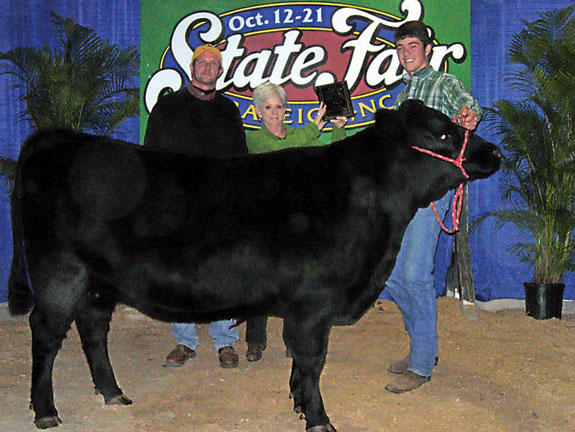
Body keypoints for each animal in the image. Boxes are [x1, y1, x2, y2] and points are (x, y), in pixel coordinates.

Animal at [7, 99, 500, 430]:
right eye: (441, 134)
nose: (493, 153)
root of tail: (60, 136)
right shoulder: (313, 302)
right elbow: (312, 359)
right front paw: (318, 417)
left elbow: (300, 362)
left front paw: (299, 403)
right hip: (59, 272)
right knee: (46, 334)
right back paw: (46, 411)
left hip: (97, 280)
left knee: (93, 329)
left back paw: (112, 393)